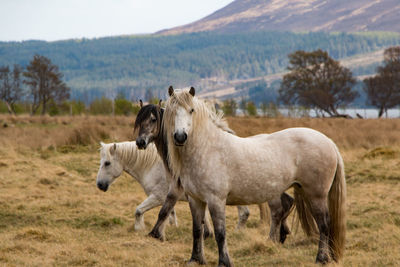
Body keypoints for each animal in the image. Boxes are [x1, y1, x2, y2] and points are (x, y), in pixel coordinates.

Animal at [164, 88, 346, 266]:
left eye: (191, 110)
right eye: (171, 111)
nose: (180, 137)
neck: (208, 149)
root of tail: (328, 142)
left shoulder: (216, 200)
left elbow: (220, 233)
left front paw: (224, 262)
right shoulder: (195, 200)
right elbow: (197, 231)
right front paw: (195, 260)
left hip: (316, 195)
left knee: (324, 224)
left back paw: (321, 258)